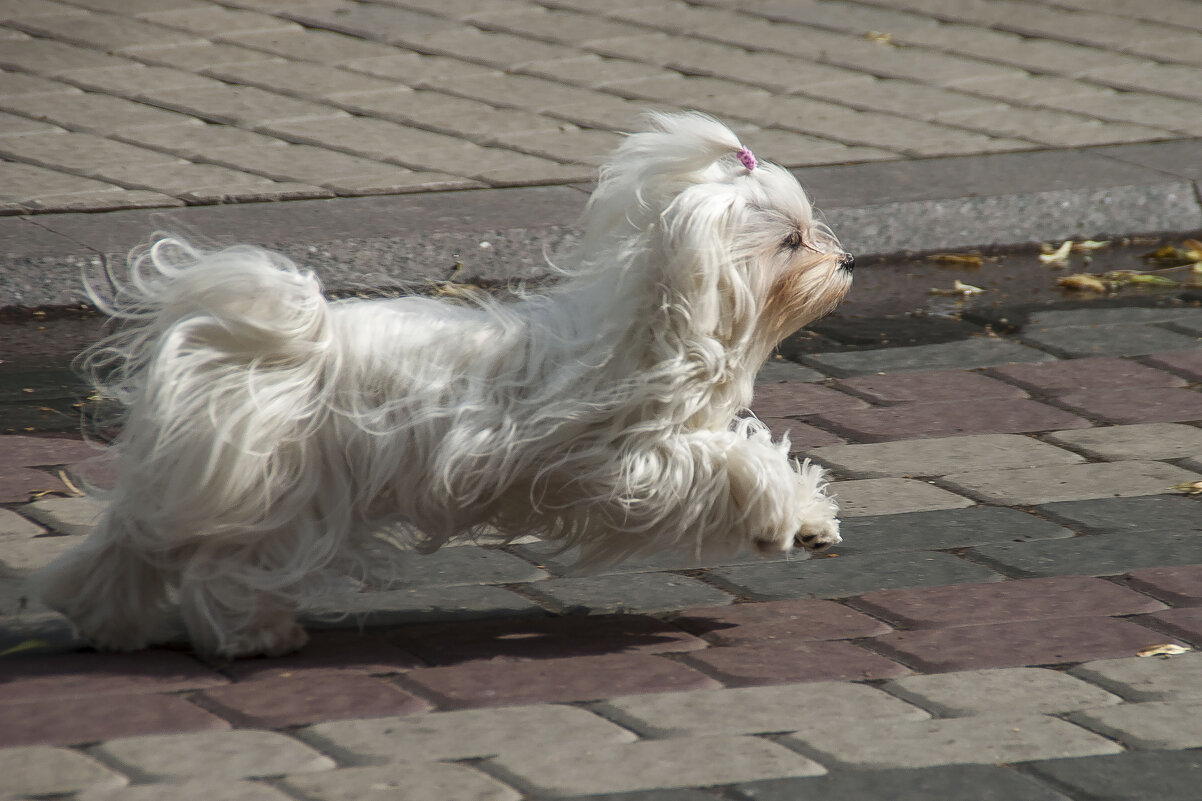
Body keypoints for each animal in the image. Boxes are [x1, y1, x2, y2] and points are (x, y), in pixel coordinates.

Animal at [32, 110, 851, 654]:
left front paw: (810, 519)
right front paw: (779, 515)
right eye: (790, 240)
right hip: (289, 492)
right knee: (220, 566)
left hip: (209, 471)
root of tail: (284, 342)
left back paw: (107, 620)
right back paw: (251, 634)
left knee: (133, 539)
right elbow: (730, 462)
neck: (663, 325)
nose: (844, 261)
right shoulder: (625, 461)